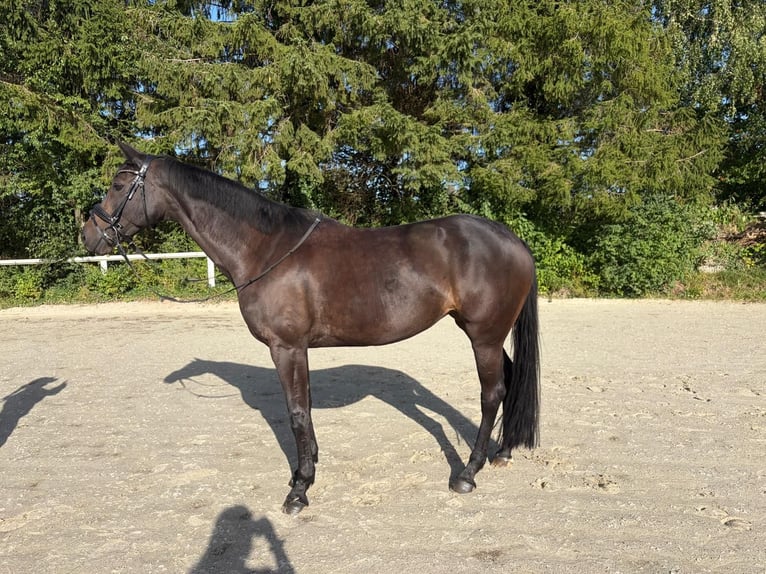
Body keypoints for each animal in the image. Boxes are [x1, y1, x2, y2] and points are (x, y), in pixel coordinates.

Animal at [81, 141, 541, 515]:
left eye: (119, 186)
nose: (89, 235)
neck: (266, 249)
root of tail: (511, 240)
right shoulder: (297, 349)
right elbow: (305, 409)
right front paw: (307, 469)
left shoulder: (286, 347)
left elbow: (297, 412)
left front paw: (299, 490)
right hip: (487, 334)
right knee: (511, 379)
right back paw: (503, 452)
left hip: (483, 336)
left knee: (492, 393)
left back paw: (468, 473)